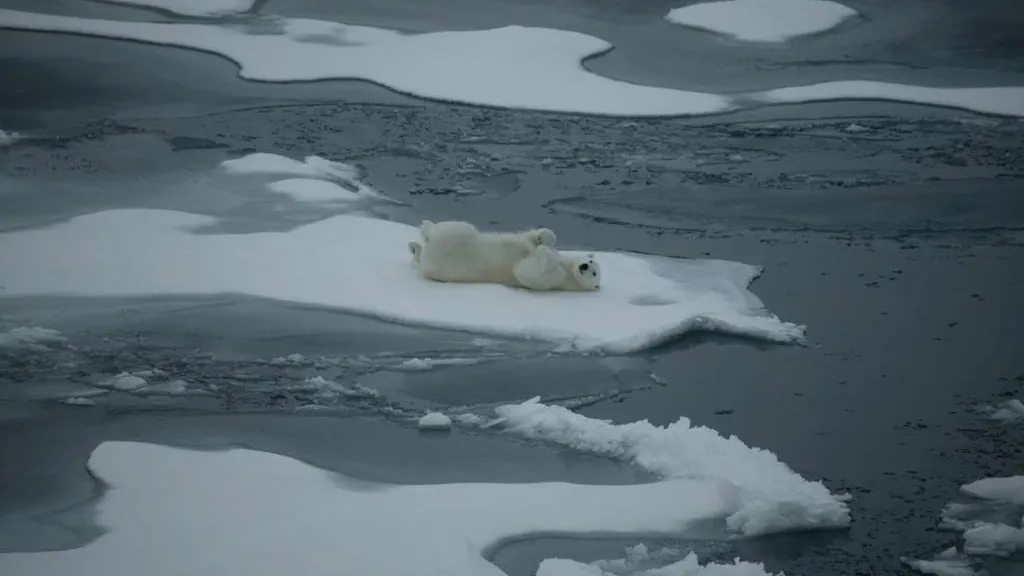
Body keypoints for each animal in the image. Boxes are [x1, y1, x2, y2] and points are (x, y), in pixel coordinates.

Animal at [405, 219, 598, 291]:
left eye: (594, 272)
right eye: (590, 260)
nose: (585, 266)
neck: (568, 269)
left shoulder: (555, 279)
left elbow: (526, 271)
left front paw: (542, 253)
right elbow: (538, 238)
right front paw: (542, 241)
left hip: (445, 259)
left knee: (455, 231)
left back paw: (423, 234)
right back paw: (418, 241)